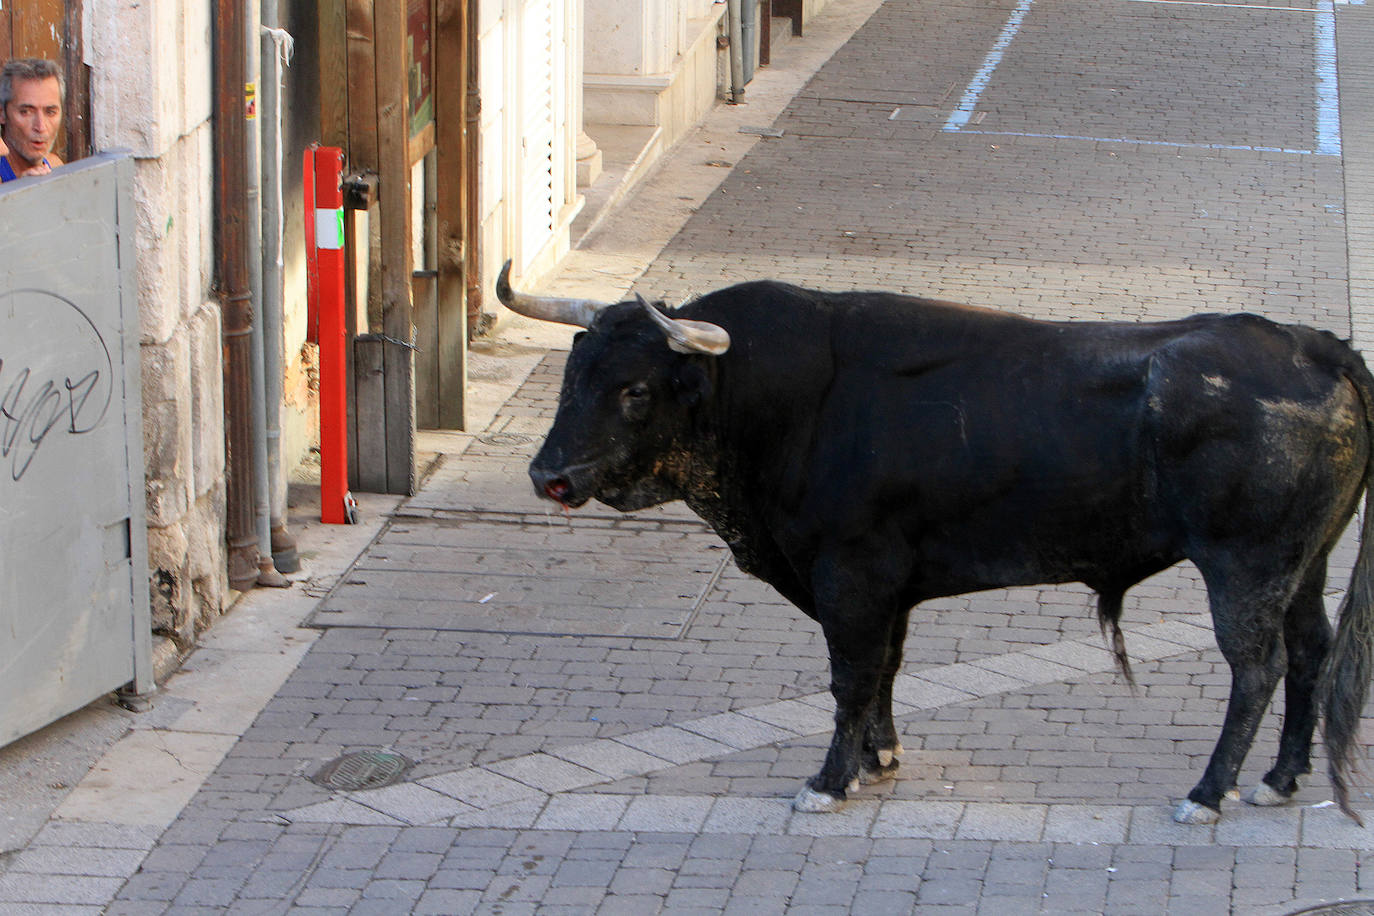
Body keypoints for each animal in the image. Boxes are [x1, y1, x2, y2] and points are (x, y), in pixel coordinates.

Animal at [500, 263, 1374, 823]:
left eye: (635, 389)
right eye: (572, 375)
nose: (548, 475)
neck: (786, 399)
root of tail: (1311, 343)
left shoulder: (849, 573)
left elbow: (850, 677)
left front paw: (828, 781)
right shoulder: (890, 583)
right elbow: (885, 668)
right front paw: (878, 759)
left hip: (1245, 567)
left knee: (1256, 668)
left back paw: (1207, 792)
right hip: (1303, 566)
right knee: (1310, 650)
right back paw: (1280, 779)